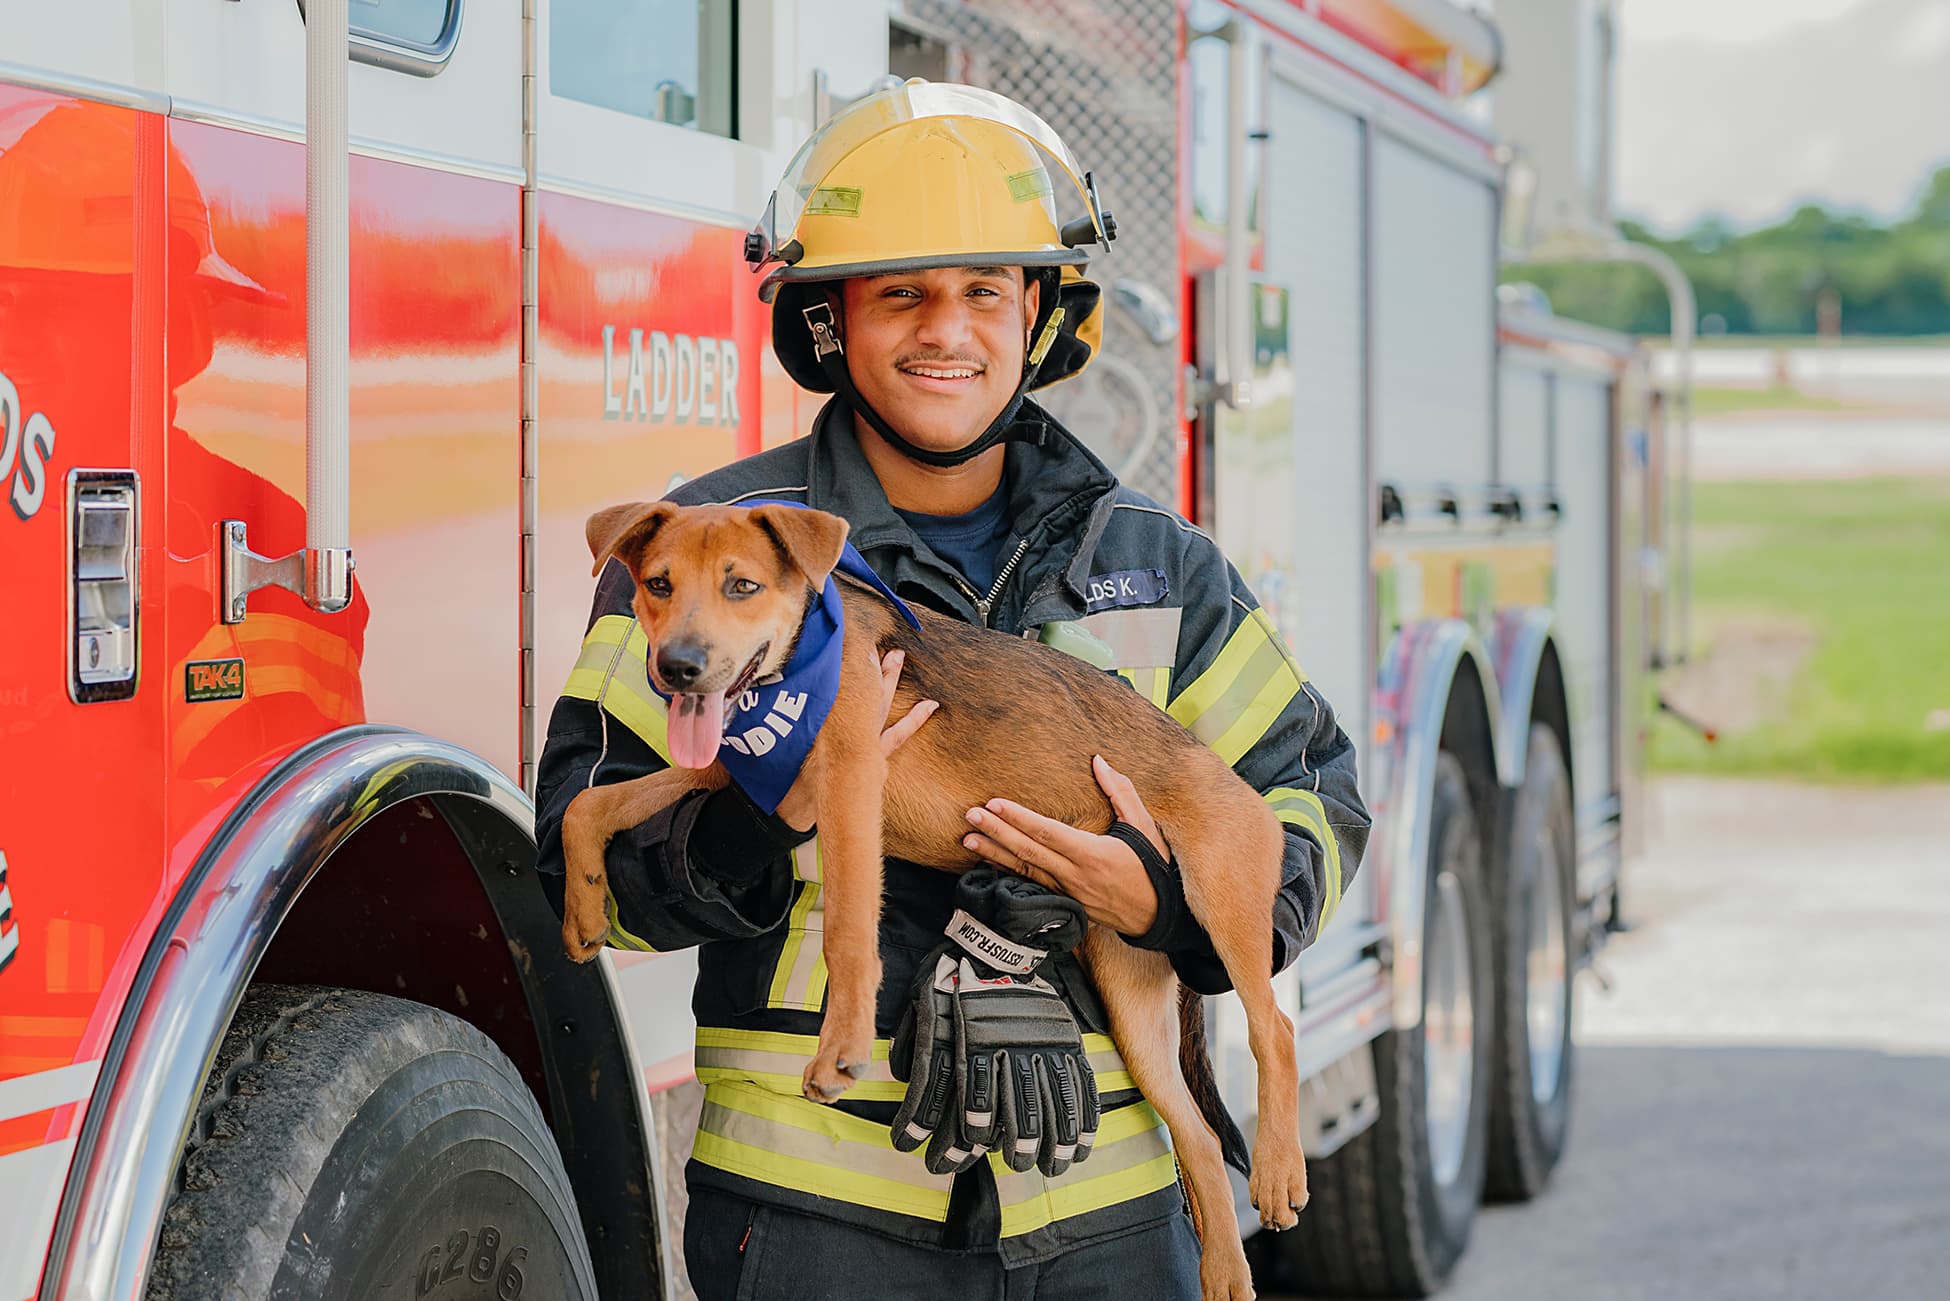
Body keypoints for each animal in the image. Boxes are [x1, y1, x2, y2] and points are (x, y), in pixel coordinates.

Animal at [557, 503, 1302, 1301]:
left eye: (742, 585)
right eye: (658, 584)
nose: (678, 667)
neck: (791, 669)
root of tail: (1231, 778)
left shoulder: (851, 782)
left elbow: (849, 930)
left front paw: (842, 1051)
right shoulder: (736, 778)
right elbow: (590, 806)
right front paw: (583, 911)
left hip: (1221, 898)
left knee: (1275, 1029)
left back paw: (1279, 1174)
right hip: (1133, 1004)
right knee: (1197, 1133)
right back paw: (1225, 1270)